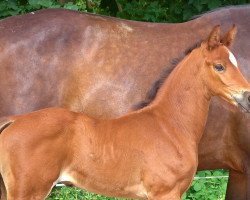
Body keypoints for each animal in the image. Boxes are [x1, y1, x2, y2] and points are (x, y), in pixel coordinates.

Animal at [0, 25, 249, 199]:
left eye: (236, 63)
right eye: (219, 66)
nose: (247, 95)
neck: (169, 124)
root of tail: (14, 121)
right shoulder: (165, 192)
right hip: (29, 191)